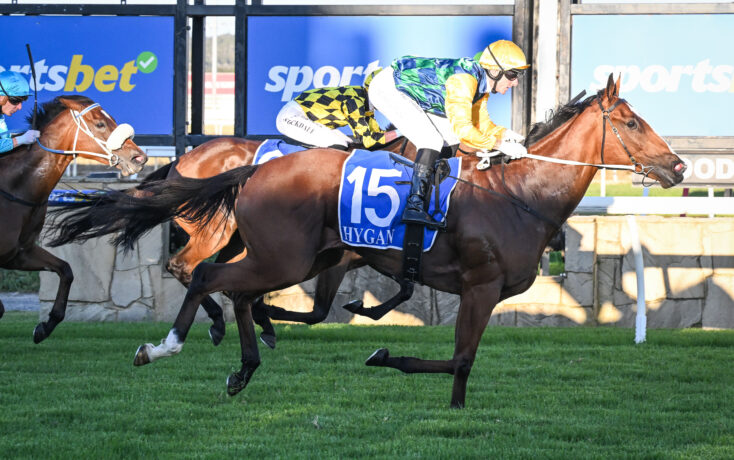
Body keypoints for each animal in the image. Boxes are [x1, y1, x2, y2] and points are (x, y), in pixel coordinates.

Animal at [0, 95, 147, 342]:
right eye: (100, 123)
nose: (140, 157)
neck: (15, 187)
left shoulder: (20, 253)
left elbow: (66, 270)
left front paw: (45, 326)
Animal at [48, 75, 686, 408]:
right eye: (630, 123)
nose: (678, 166)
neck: (518, 192)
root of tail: (247, 170)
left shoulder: (378, 264)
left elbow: (442, 349)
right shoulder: (479, 287)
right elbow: (459, 356)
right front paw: (389, 357)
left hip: (279, 253)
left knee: (229, 288)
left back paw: (244, 362)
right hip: (278, 254)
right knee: (205, 276)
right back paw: (171, 345)